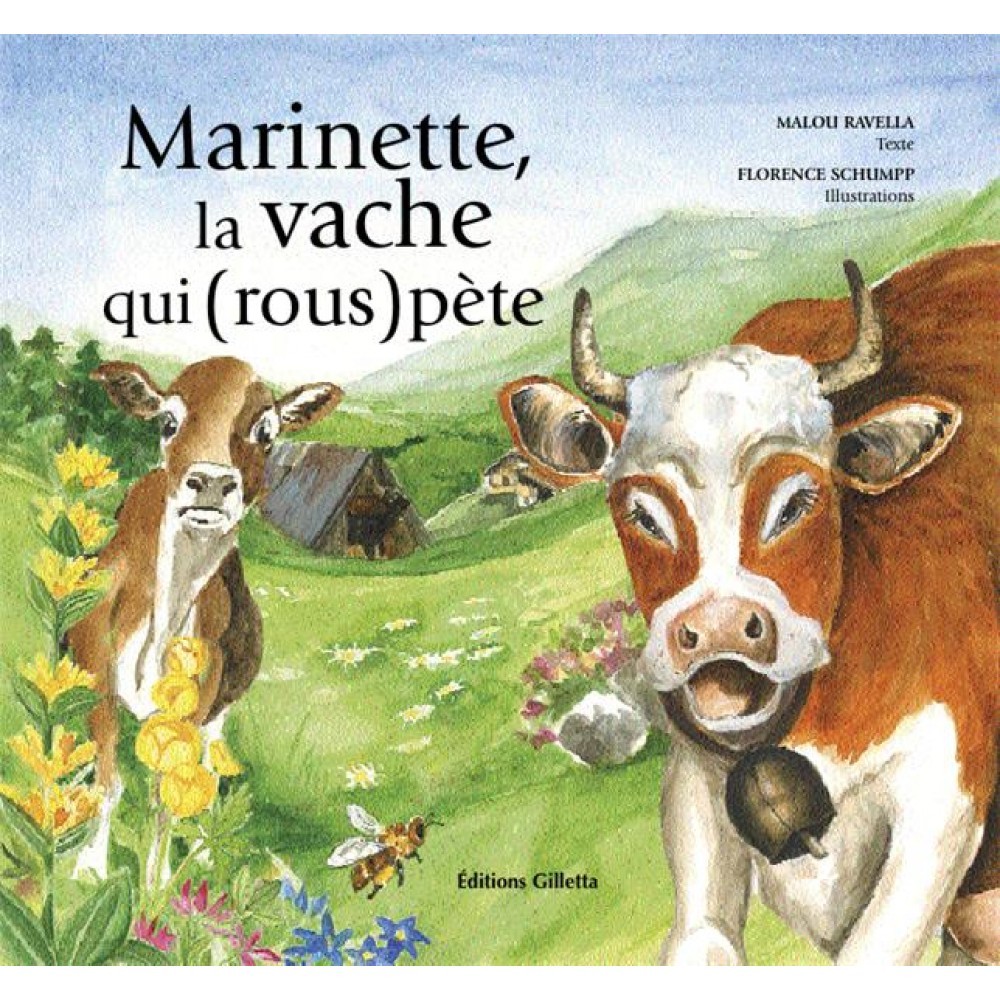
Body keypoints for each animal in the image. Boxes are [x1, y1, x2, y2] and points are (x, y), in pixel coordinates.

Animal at [68, 357, 342, 881]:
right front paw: (89, 870)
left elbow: (171, 798)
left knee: (212, 766)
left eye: (266, 431)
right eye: (167, 422)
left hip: (222, 707)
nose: (212, 482)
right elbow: (108, 782)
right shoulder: (98, 681)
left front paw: (158, 886)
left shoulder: (197, 707)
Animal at [498, 245, 998, 965]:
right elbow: (702, 942)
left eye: (797, 502)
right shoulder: (694, 786)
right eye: (641, 512)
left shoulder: (944, 799)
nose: (717, 630)